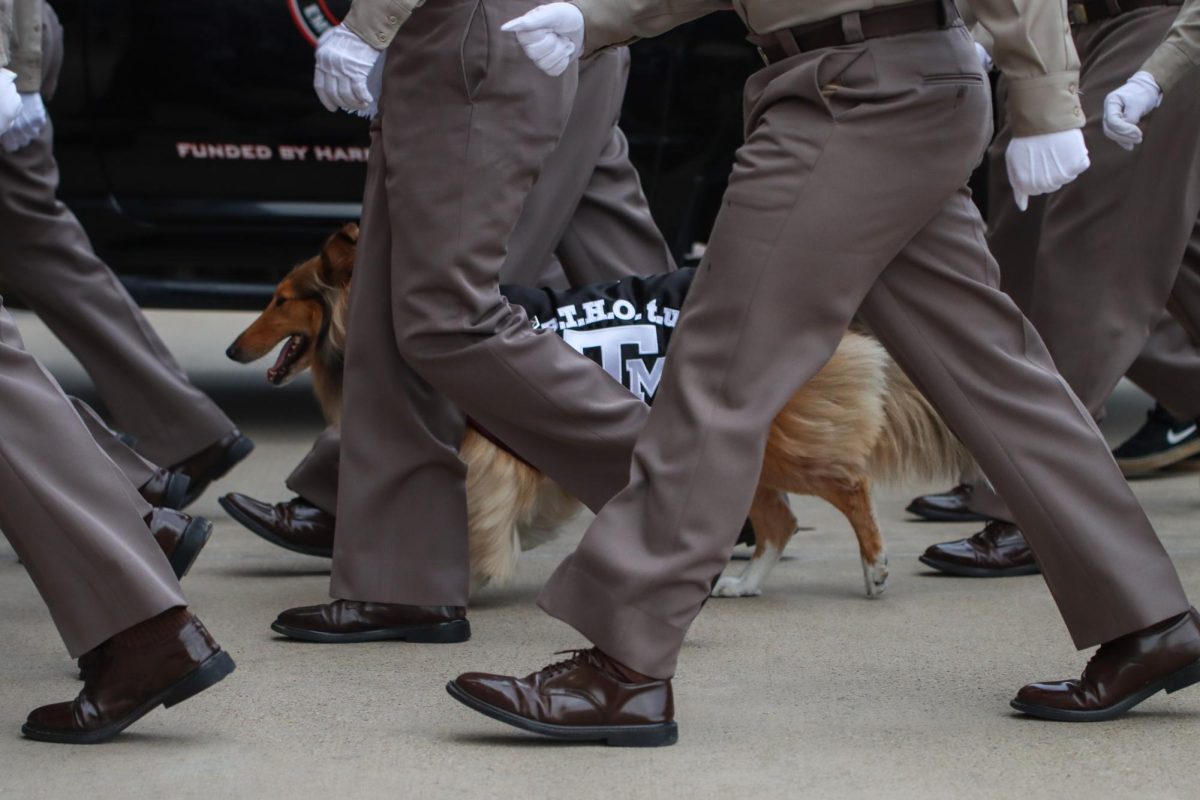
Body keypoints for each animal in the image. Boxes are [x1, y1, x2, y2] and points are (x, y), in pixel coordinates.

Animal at [226, 225, 974, 599]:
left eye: (280, 298)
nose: (233, 347)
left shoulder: (494, 451)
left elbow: (481, 512)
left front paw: (474, 568)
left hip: (777, 436)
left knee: (846, 485)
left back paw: (874, 569)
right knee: (781, 520)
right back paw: (740, 582)